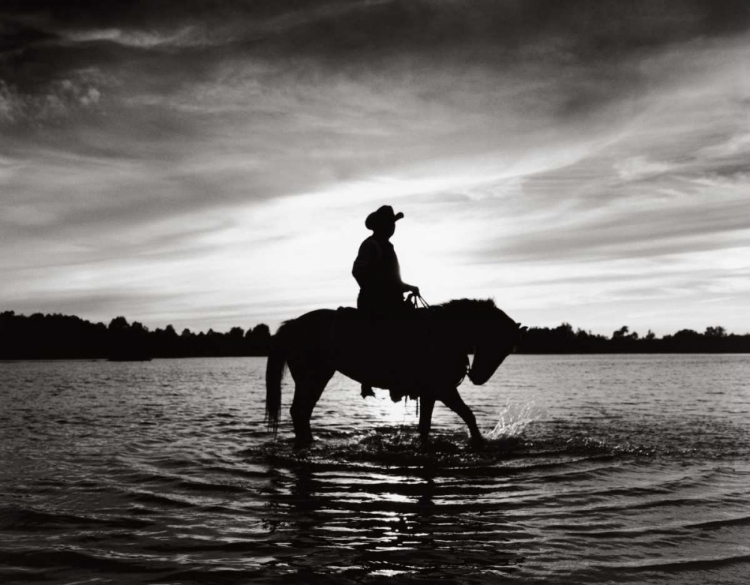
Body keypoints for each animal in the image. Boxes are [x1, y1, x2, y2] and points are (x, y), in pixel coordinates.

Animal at [268, 298, 524, 444]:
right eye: (499, 344)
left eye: (507, 350)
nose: (478, 377)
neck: (444, 332)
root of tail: (292, 325)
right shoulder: (443, 389)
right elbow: (468, 414)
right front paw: (480, 443)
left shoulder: (430, 393)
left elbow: (425, 427)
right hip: (313, 379)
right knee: (300, 412)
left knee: (301, 413)